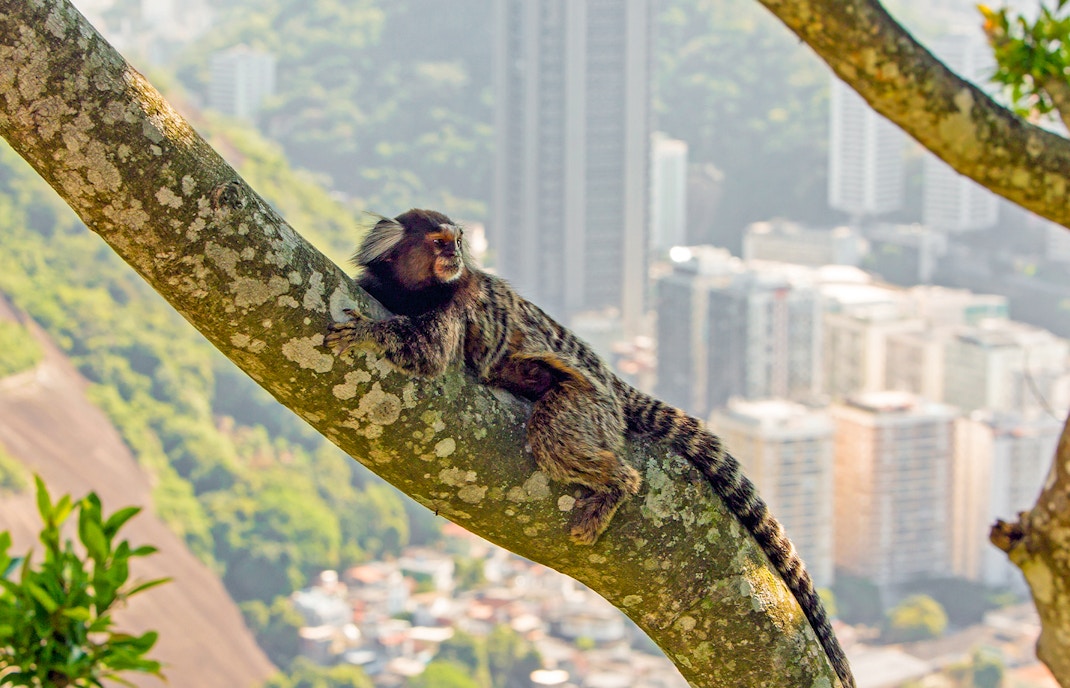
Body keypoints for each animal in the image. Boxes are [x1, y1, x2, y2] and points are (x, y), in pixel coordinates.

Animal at [324, 209, 855, 688]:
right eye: (439, 243)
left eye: (455, 242)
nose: (453, 255)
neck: (416, 291)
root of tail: (613, 385)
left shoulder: (460, 300)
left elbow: (430, 352)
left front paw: (371, 333)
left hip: (586, 402)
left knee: (555, 435)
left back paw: (614, 486)